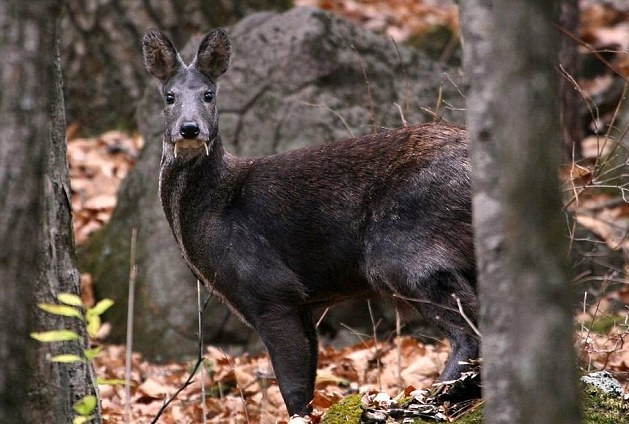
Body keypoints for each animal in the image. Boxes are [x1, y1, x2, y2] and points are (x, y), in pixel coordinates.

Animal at [141, 28, 476, 416]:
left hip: (403, 245)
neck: (216, 207)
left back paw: (429, 398)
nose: (190, 129)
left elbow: (293, 387)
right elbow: (306, 379)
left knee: (469, 329)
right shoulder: (299, 301)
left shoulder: (269, 288)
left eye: (209, 95)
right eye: (169, 96)